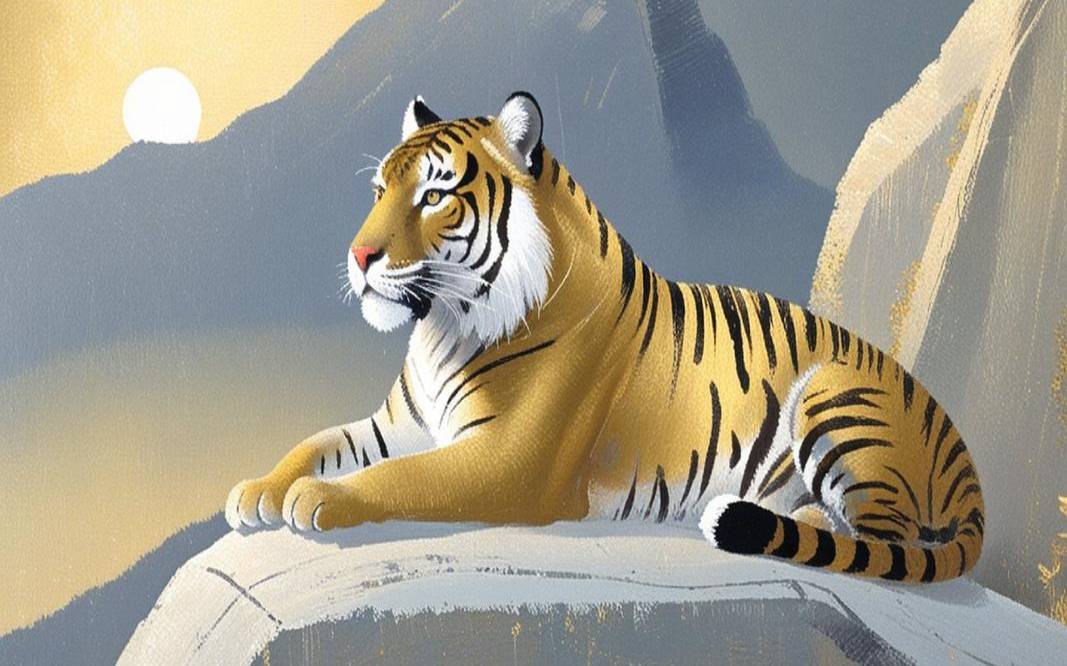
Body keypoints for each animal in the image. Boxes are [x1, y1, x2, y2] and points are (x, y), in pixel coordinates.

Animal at [226, 91, 985, 583]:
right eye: (379, 190)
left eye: (434, 196)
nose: (358, 257)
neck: (443, 324)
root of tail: (959, 448)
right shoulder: (403, 423)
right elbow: (319, 442)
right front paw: (258, 489)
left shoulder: (507, 459)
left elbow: (399, 477)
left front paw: (317, 499)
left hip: (832, 394)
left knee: (884, 534)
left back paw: (800, 520)